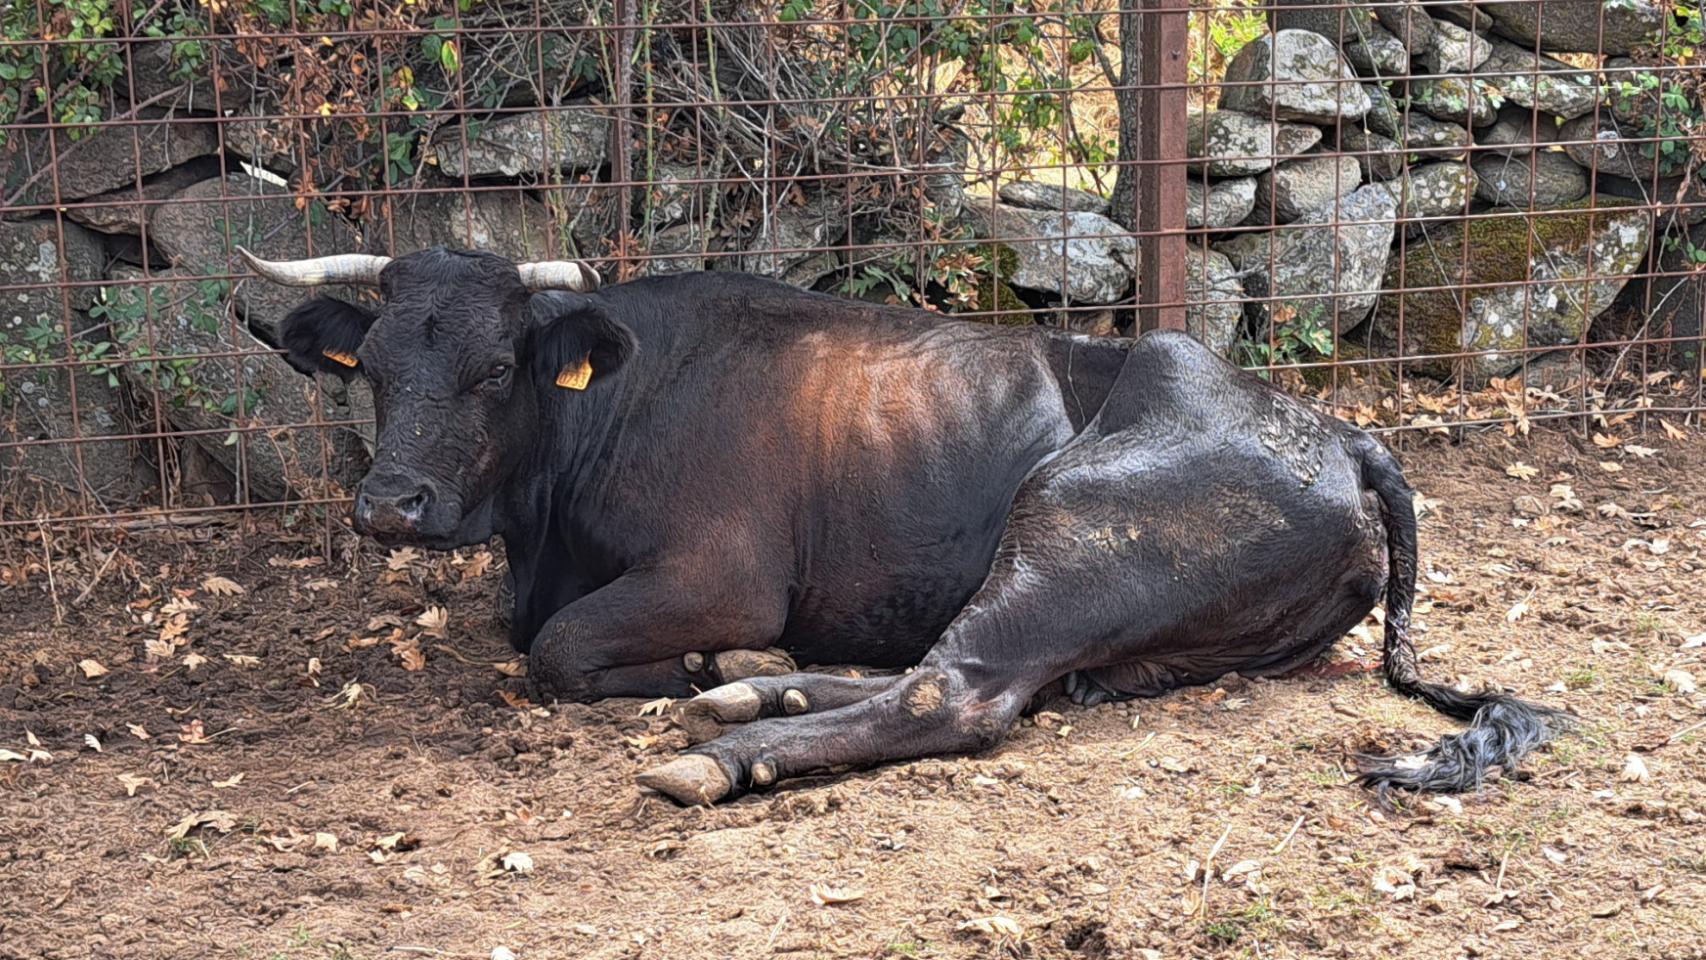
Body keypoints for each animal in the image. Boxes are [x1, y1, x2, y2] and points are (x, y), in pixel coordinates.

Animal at [240, 245, 1567, 806]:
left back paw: (727, 743)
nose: (389, 504)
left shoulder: (719, 572)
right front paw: (723, 667)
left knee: (955, 691)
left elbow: (556, 650)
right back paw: (749, 688)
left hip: (1069, 526)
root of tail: (1334, 430)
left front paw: (692, 664)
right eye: (371, 369)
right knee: (957, 669)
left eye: (495, 366)